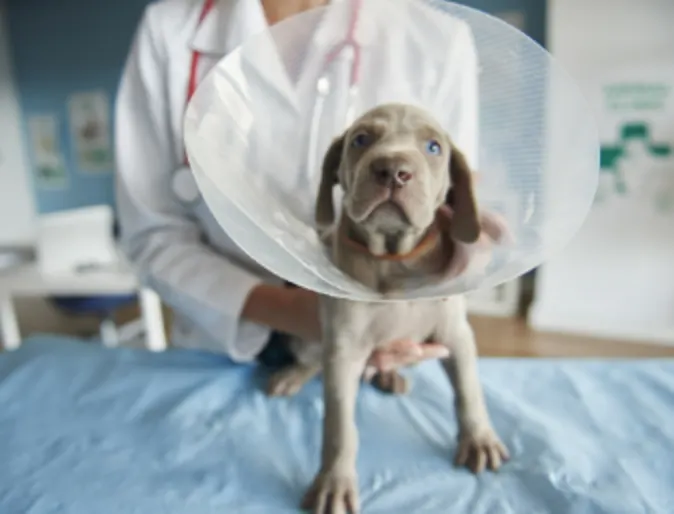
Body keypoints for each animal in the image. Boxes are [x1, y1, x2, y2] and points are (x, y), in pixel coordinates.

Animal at [266, 104, 506, 512]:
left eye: (433, 147)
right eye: (361, 139)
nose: (393, 170)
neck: (394, 258)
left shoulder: (456, 334)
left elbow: (469, 388)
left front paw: (479, 438)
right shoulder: (344, 349)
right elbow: (339, 426)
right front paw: (334, 483)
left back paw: (390, 376)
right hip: (311, 341)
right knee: (312, 359)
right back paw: (293, 375)